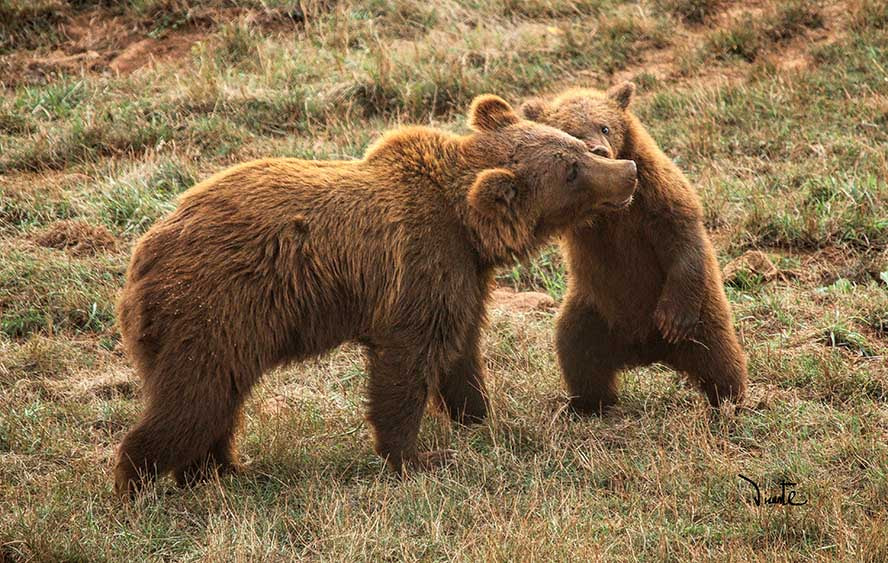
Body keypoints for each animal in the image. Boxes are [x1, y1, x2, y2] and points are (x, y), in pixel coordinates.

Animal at [113, 94, 638, 496]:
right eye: (572, 170)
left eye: (578, 147)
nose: (628, 169)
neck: (469, 230)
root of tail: (141, 259)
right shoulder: (420, 268)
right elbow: (406, 365)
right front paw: (419, 455)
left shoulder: (464, 279)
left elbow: (461, 354)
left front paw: (480, 418)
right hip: (213, 309)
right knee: (193, 401)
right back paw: (137, 482)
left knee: (219, 401)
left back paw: (223, 470)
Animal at [519, 82, 748, 413]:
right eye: (572, 132)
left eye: (605, 126)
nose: (599, 149)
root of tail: (645, 351)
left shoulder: (654, 195)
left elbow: (680, 228)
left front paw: (672, 320)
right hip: (593, 310)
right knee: (576, 349)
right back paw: (586, 404)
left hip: (704, 311)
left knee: (718, 356)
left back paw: (728, 402)